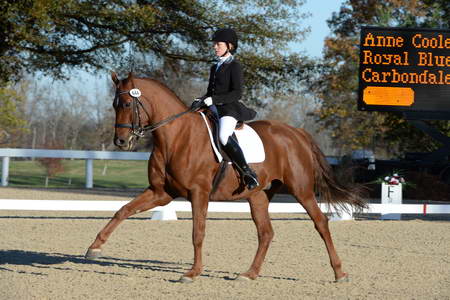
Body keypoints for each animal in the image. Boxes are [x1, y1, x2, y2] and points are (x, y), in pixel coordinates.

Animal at [85, 71, 366, 282]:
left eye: (127, 104)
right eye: (114, 105)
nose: (121, 141)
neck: (175, 137)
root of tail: (297, 132)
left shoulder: (198, 193)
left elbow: (198, 232)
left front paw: (192, 273)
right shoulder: (161, 193)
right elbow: (123, 210)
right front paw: (94, 247)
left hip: (302, 190)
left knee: (321, 223)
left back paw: (340, 273)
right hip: (258, 195)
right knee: (266, 233)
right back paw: (249, 274)